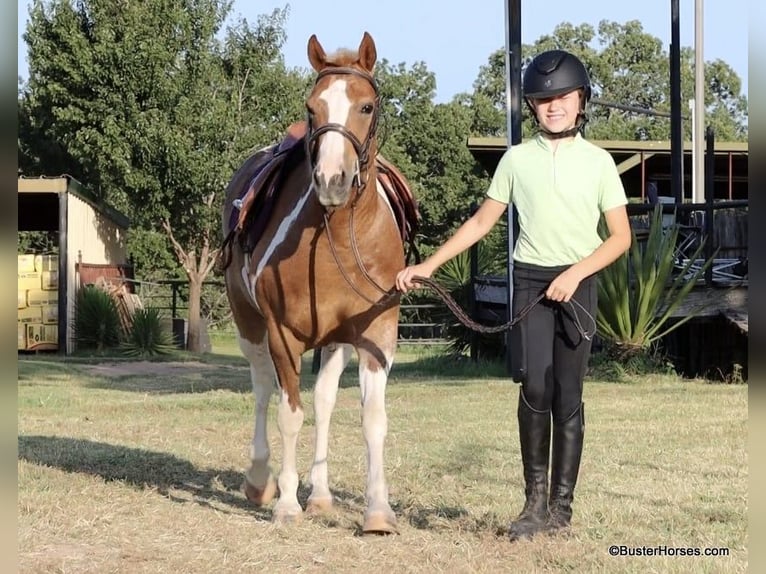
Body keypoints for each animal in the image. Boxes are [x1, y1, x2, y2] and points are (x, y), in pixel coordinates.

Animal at [220, 32, 418, 534]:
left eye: (366, 106)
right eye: (313, 108)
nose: (332, 181)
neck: (338, 237)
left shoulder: (374, 335)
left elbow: (372, 419)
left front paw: (377, 510)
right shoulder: (282, 335)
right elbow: (289, 414)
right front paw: (287, 504)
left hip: (335, 341)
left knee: (325, 400)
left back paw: (322, 495)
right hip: (249, 323)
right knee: (262, 388)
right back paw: (260, 481)